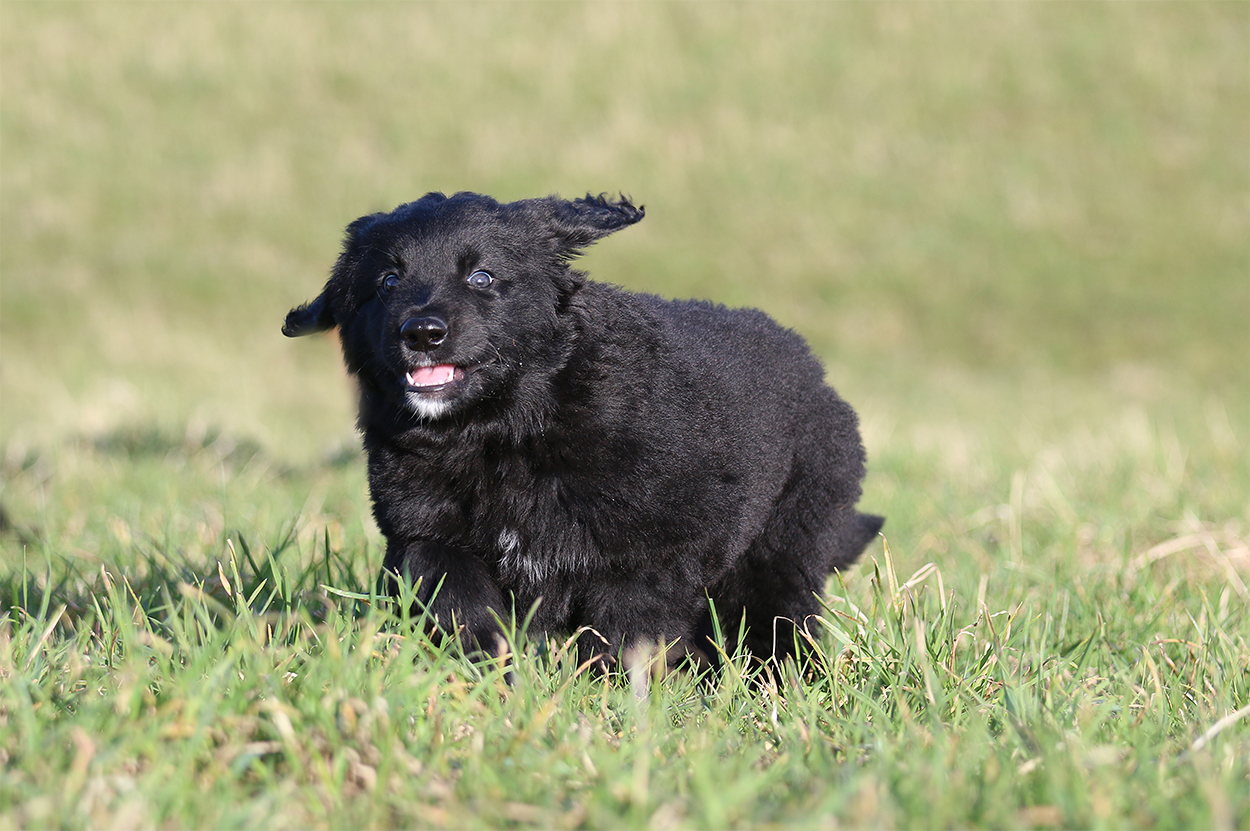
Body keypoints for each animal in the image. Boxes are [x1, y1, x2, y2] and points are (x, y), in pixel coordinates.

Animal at [283, 192, 882, 669]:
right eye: (387, 282)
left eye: (481, 277)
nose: (422, 332)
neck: (502, 430)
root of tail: (819, 377)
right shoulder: (424, 530)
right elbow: (454, 589)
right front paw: (492, 667)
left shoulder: (649, 553)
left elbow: (624, 630)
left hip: (785, 538)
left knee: (777, 619)